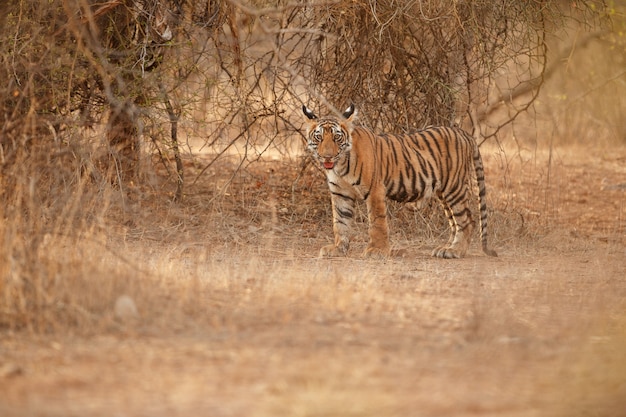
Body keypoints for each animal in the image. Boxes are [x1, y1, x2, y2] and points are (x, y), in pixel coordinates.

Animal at [300, 103, 494, 258]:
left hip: (454, 187)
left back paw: (455, 251)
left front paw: (377, 251)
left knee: (467, 220)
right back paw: (446, 247)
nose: (327, 156)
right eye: (319, 137)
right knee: (455, 222)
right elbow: (340, 222)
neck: (340, 166)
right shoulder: (340, 193)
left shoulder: (375, 191)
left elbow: (377, 223)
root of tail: (464, 133)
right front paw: (338, 248)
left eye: (336, 137)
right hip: (443, 192)